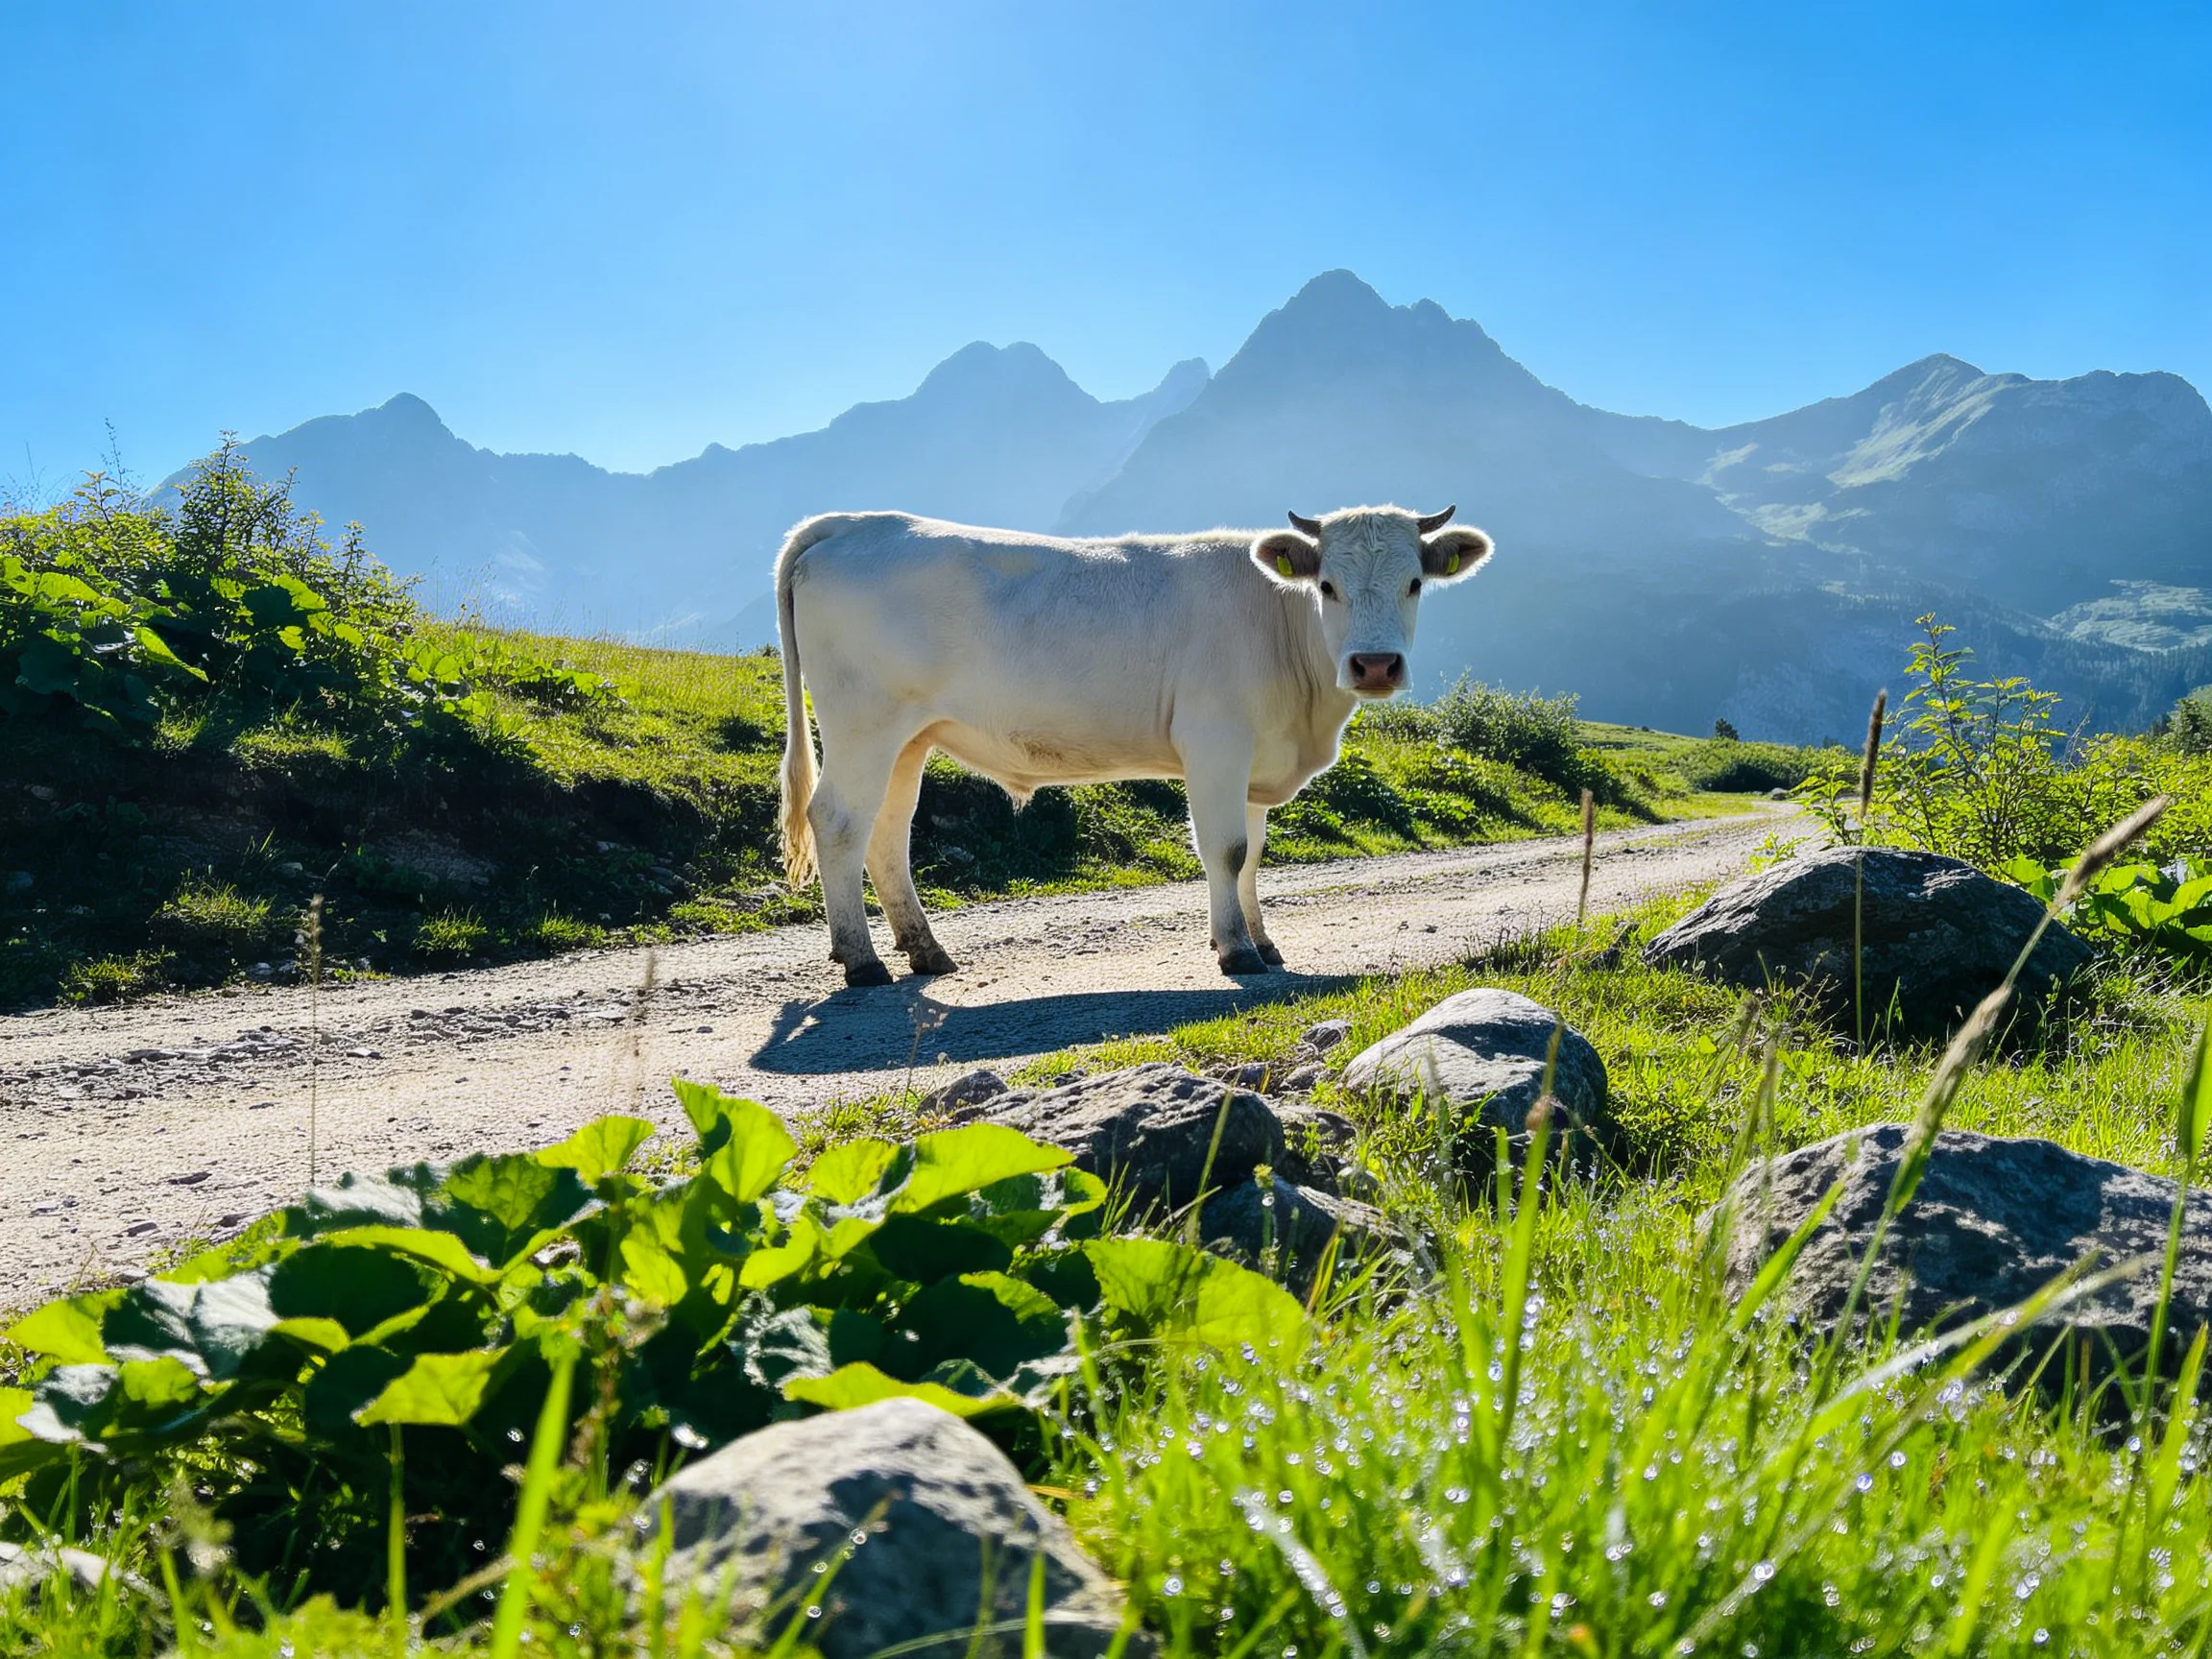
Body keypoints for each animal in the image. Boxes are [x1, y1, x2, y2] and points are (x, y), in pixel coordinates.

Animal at [774, 504, 1494, 986]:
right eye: (1327, 586)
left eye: (1414, 583)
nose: (1374, 665)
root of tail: (856, 523)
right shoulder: (1215, 742)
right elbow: (1227, 851)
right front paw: (1236, 952)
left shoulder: (1254, 757)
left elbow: (1255, 855)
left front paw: (1263, 943)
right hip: (864, 724)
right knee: (838, 821)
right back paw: (862, 960)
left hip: (909, 738)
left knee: (888, 833)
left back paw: (924, 951)